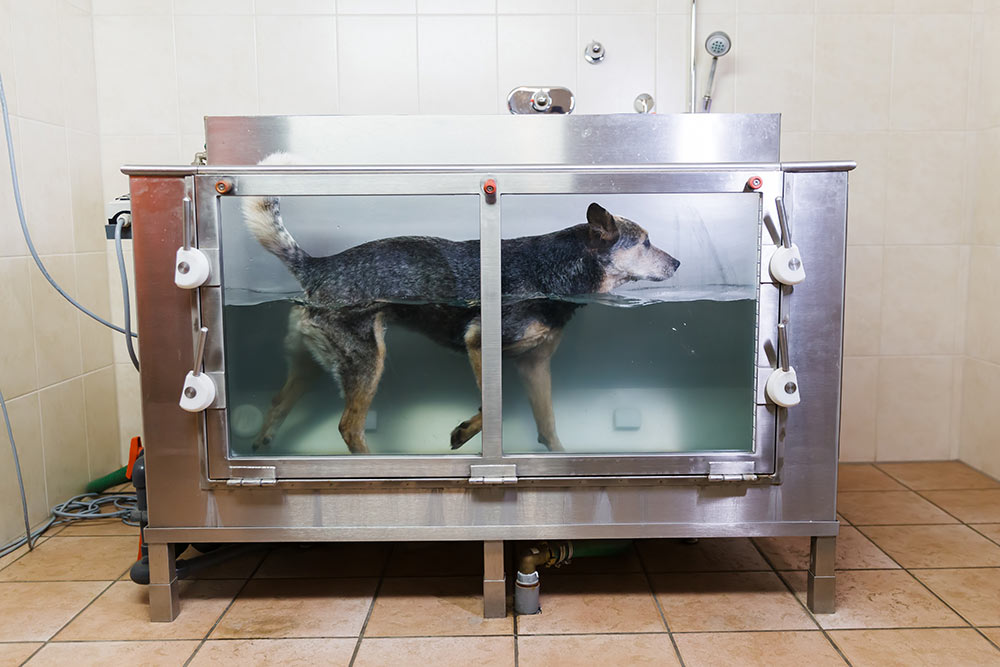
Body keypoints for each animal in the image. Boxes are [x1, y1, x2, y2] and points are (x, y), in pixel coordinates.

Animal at [242, 157, 680, 454]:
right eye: (644, 242)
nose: (678, 262)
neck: (556, 270)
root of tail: (316, 265)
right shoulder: (480, 344)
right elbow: (492, 409)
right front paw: (464, 431)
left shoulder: (535, 365)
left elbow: (549, 426)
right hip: (367, 362)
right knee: (349, 426)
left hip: (312, 363)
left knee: (279, 403)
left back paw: (262, 444)